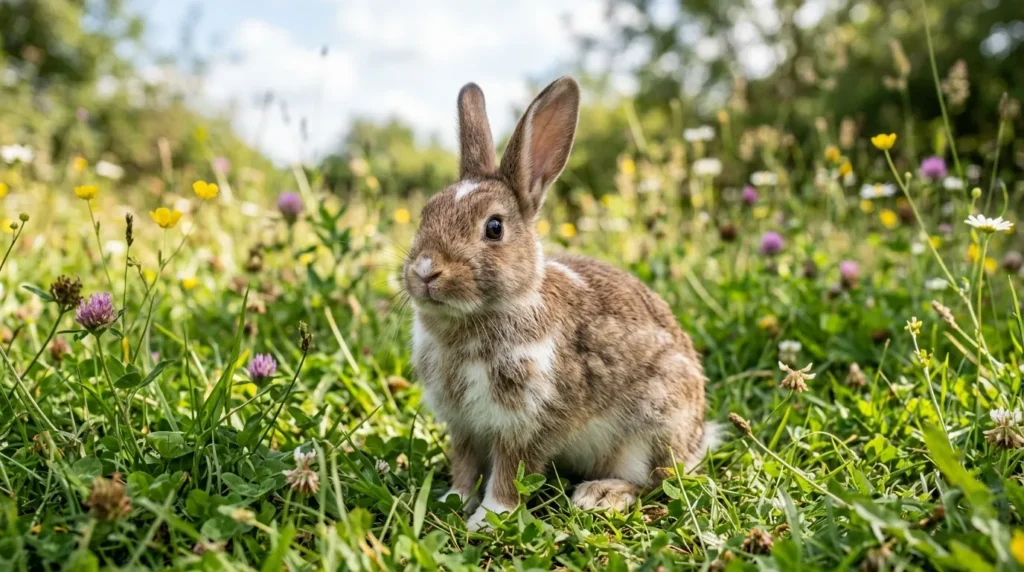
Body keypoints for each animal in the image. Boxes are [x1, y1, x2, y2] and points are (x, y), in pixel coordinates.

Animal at [403, 76, 718, 531]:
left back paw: (599, 495)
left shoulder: (530, 422)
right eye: (426, 214)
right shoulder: (463, 427)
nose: (426, 271)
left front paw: (489, 519)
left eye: (494, 228)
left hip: (649, 430)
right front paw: (451, 501)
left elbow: (511, 472)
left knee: (652, 481)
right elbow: (464, 466)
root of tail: (696, 439)